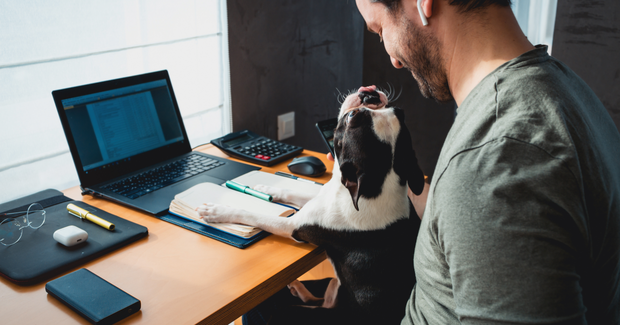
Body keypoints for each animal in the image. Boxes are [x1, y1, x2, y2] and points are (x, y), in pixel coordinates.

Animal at [199, 86, 426, 324]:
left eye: (352, 118)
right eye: (398, 111)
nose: (369, 93)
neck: (376, 187)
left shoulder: (292, 226)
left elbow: (253, 215)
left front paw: (217, 211)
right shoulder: (323, 197)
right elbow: (293, 192)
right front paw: (265, 189)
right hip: (335, 286)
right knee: (322, 296)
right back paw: (297, 286)